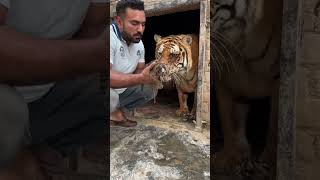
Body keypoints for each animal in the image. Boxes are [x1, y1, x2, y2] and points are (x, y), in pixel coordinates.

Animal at [212, 0, 282, 176]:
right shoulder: (224, 77)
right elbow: (228, 119)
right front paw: (230, 157)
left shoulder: (278, 79)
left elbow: (274, 126)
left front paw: (269, 165)